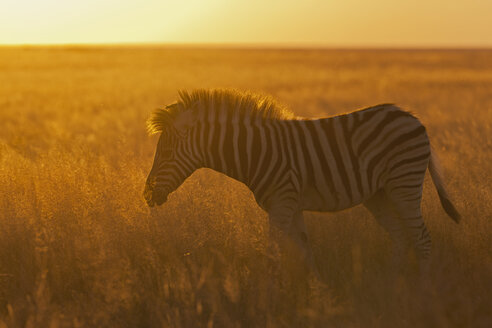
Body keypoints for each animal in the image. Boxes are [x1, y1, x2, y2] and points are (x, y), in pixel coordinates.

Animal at [143, 88, 462, 276]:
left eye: (167, 153)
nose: (146, 195)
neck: (255, 151)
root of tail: (412, 118)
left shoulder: (281, 203)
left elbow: (272, 255)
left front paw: (269, 301)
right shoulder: (292, 205)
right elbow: (306, 253)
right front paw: (316, 294)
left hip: (403, 184)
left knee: (421, 239)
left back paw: (421, 294)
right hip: (379, 194)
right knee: (400, 237)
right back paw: (392, 287)